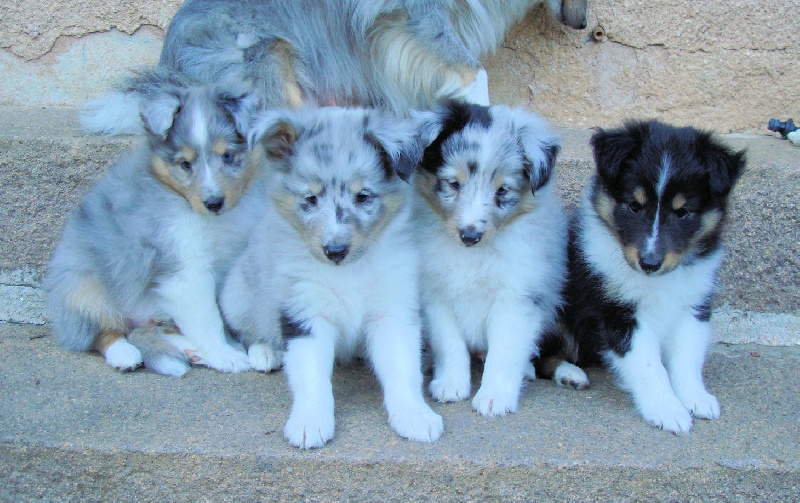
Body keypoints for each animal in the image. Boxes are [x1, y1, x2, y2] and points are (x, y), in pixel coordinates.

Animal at [44, 79, 262, 378]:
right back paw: (124, 353)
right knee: (105, 332)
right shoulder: (184, 270)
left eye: (228, 156)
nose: (213, 203)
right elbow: (208, 319)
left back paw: (187, 349)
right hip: (82, 287)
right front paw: (226, 356)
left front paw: (243, 345)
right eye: (185, 164)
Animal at [220, 105, 444, 448]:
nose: (335, 251)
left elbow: (403, 368)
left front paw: (414, 416)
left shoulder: (392, 309)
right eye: (310, 199)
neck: (348, 271)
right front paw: (310, 422)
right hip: (239, 294)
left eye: (363, 196)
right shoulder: (303, 311)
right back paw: (265, 351)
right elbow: (311, 374)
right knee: (248, 328)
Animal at [412, 101, 568, 418]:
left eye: (502, 190)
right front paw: (450, 384)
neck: (472, 255)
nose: (470, 235)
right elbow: (449, 343)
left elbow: (505, 351)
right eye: (453, 184)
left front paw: (495, 397)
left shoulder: (517, 296)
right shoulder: (436, 294)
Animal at [536, 120, 744, 436]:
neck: (656, 282)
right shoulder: (620, 314)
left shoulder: (693, 304)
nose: (649, 263)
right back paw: (570, 373)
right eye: (634, 206)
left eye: (683, 212)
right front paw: (668, 410)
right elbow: (649, 366)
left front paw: (696, 398)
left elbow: (687, 357)